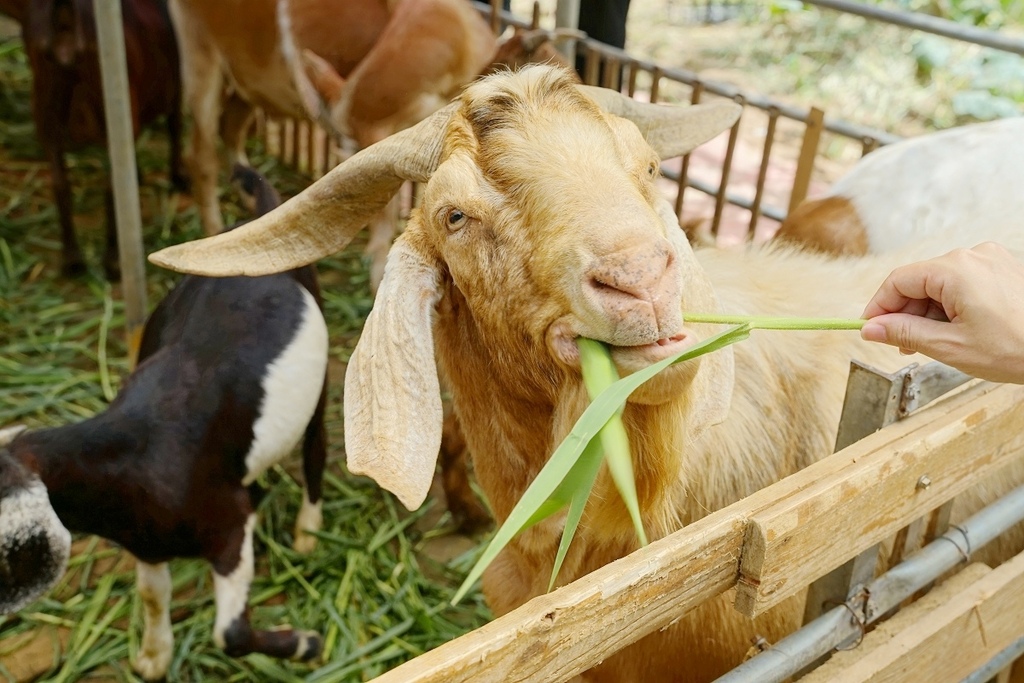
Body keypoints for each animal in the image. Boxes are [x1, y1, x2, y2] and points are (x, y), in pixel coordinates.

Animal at [0, 0, 186, 278]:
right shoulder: (174, 86)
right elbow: (175, 128)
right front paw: (177, 178)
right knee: (112, 186)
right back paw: (113, 261)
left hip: (46, 116)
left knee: (60, 184)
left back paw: (72, 259)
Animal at [0, 167, 327, 679]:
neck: (136, 457)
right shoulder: (146, 541)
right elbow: (153, 596)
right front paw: (154, 658)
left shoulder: (227, 528)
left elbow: (230, 634)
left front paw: (306, 645)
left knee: (318, 445)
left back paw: (308, 532)